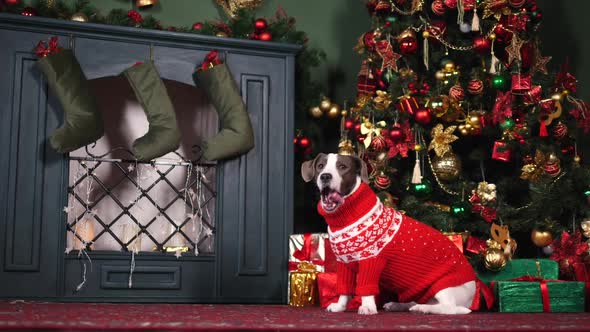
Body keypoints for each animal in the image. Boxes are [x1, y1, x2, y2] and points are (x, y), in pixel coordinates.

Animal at [302, 153, 484, 314]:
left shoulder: (371, 261)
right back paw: (400, 305)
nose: (325, 176)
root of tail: (474, 288)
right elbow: (344, 289)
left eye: (342, 167)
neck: (346, 216)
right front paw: (340, 306)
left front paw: (367, 307)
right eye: (320, 166)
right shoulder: (344, 264)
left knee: (449, 308)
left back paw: (423, 309)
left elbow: (366, 288)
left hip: (444, 287)